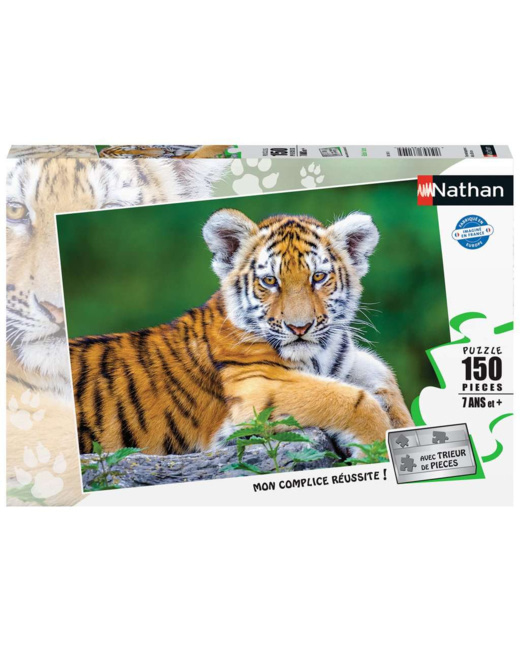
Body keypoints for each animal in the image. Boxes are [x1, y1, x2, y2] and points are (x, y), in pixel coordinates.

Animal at [70, 209, 413, 458]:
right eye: (270, 281)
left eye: (318, 277)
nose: (299, 328)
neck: (320, 355)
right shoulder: (258, 388)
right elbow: (352, 400)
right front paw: (377, 451)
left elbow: (382, 374)